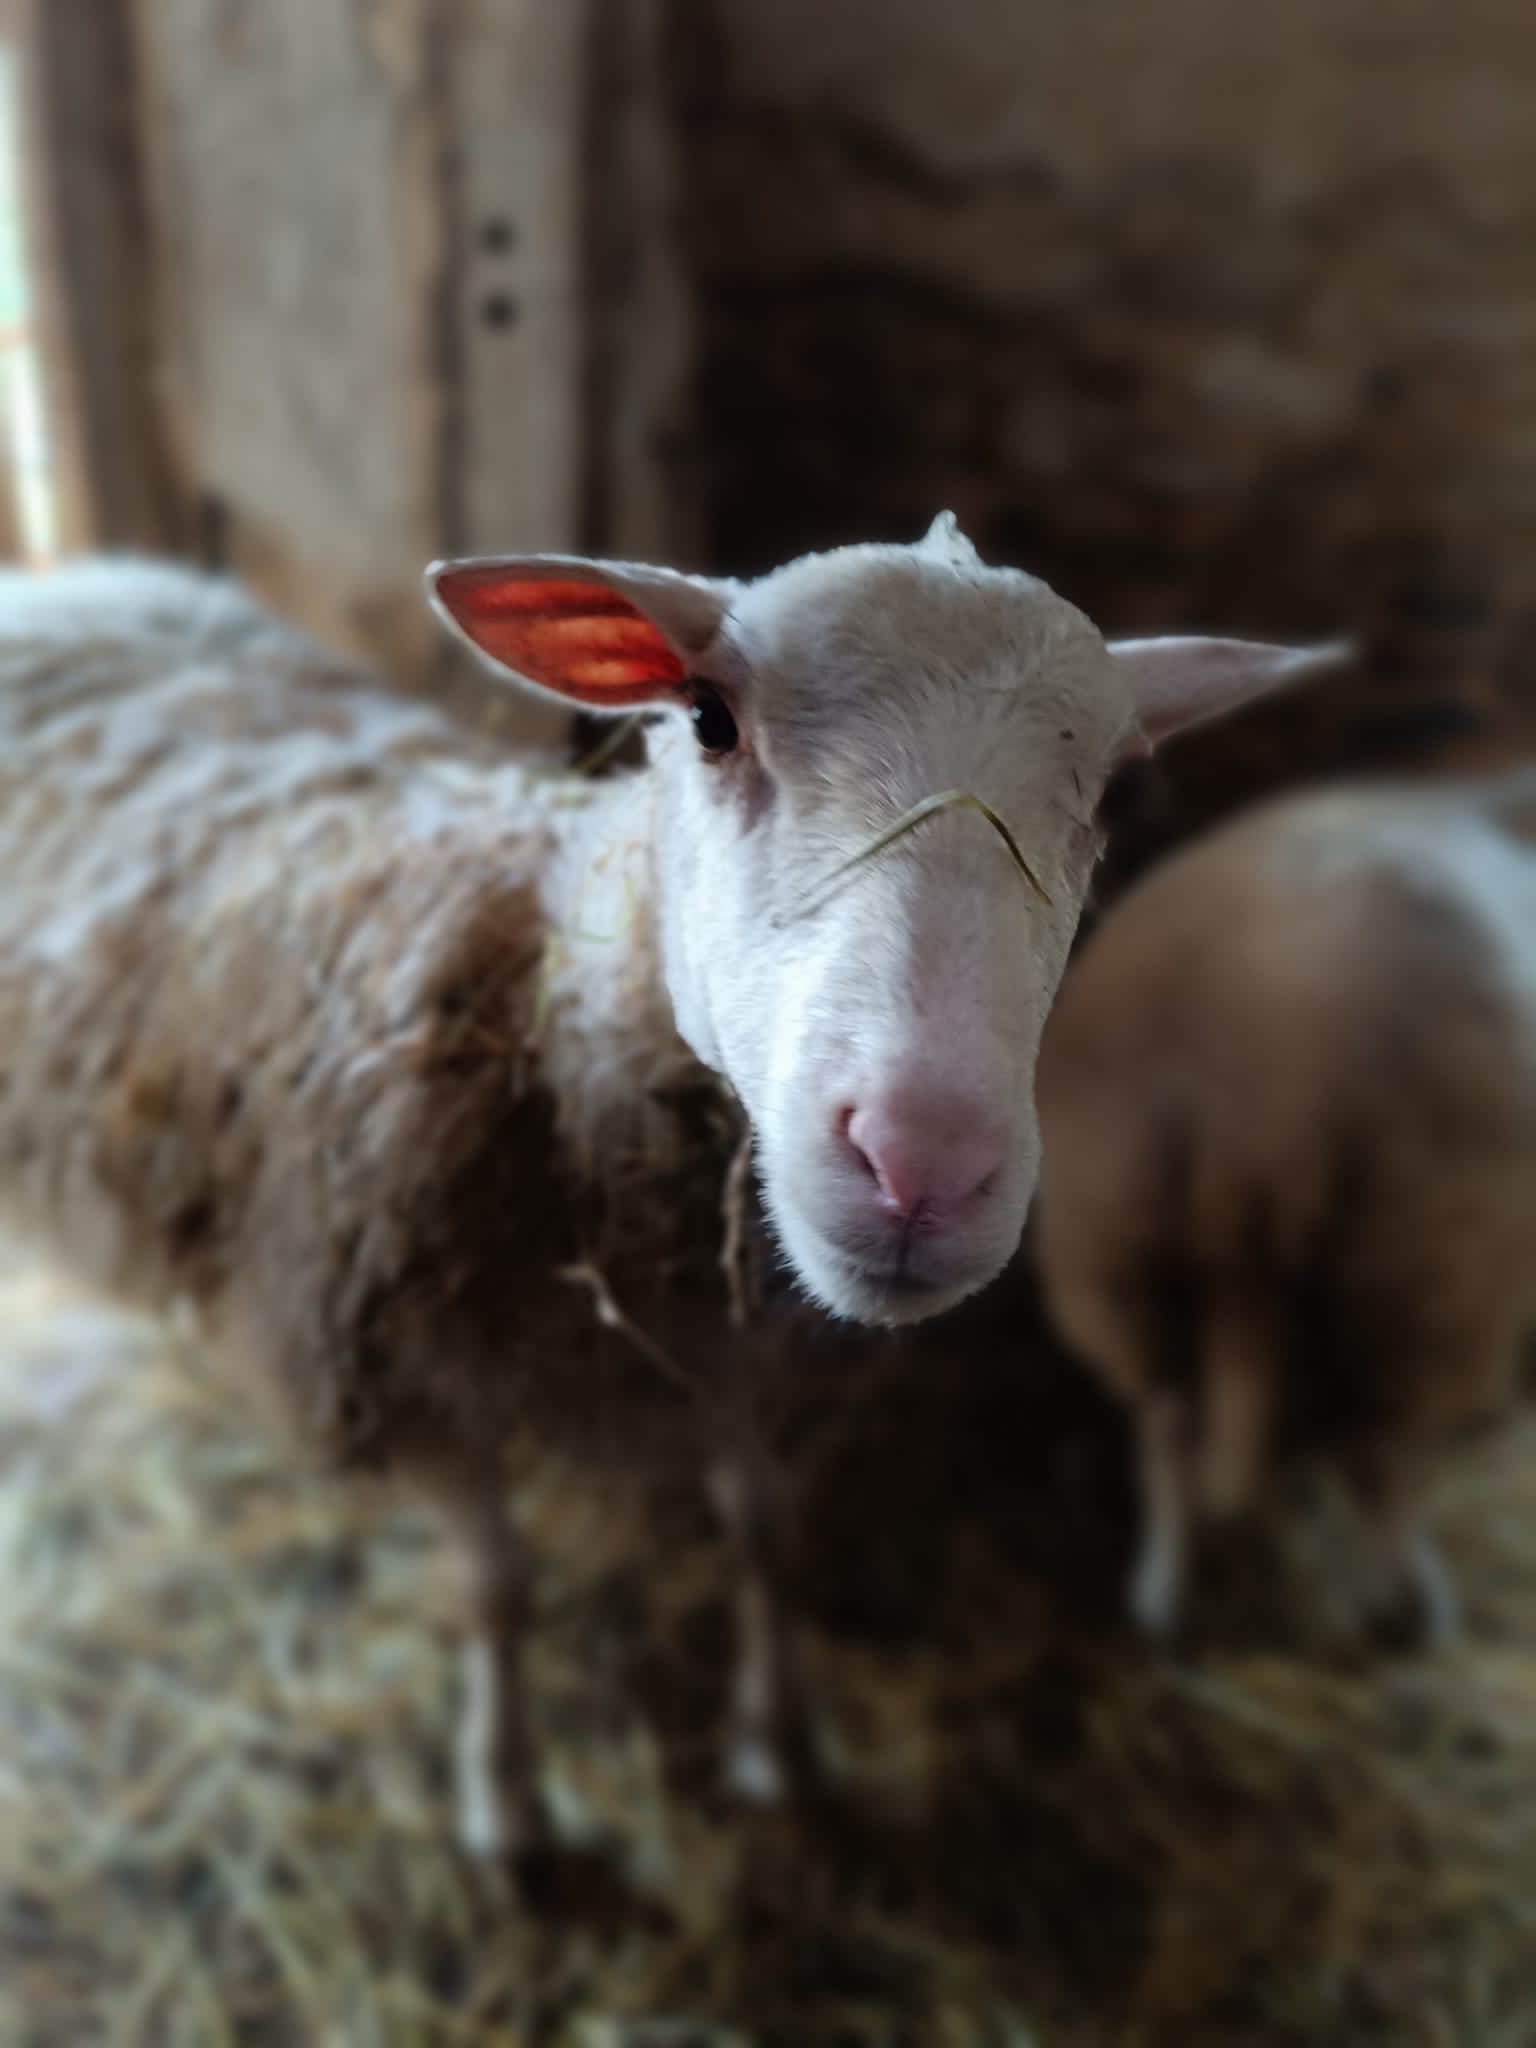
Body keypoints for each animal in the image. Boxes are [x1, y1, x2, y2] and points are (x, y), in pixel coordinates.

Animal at [0, 535, 1334, 1875]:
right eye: (708, 718)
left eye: (1113, 794)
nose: (924, 1166)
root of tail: (69, 582)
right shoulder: (408, 1367)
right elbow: (498, 1589)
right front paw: (508, 1803)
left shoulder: (735, 1354)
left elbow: (763, 1531)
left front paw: (781, 1742)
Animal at [1034, 771, 1536, 1646]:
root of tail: (1252, 1081)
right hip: (1428, 1266)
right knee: (1384, 1455)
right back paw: (1419, 1606)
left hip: (1113, 1253)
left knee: (1164, 1430)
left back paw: (1163, 1603)